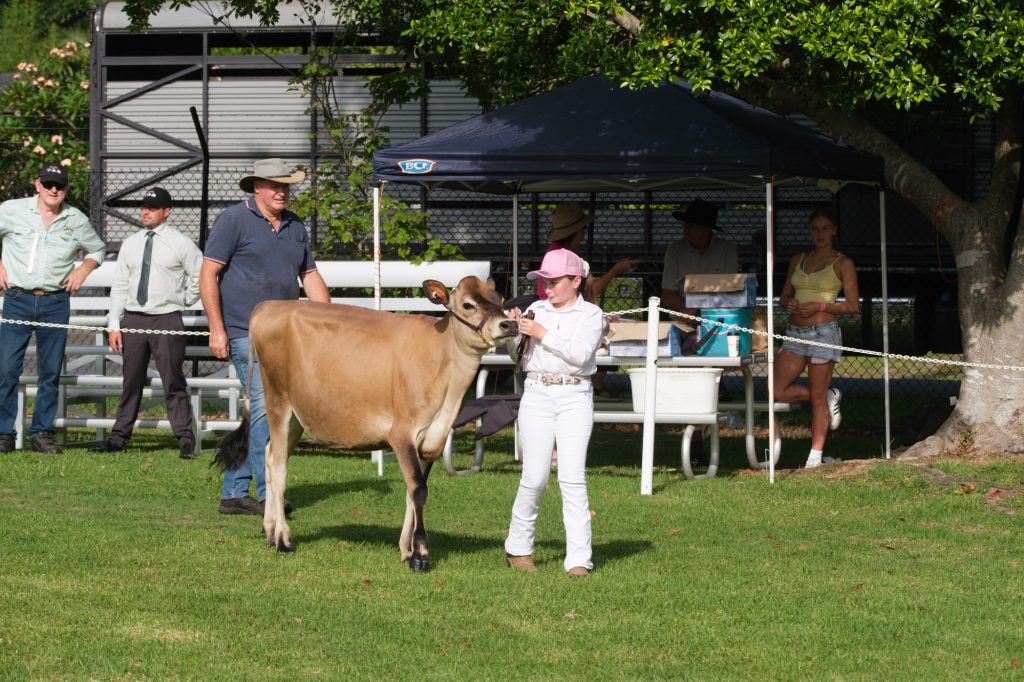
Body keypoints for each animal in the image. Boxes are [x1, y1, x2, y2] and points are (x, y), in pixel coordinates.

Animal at [213, 276, 517, 572]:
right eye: (468, 305)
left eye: (500, 299)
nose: (510, 324)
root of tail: (267, 306)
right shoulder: (402, 434)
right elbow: (419, 491)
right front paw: (420, 555)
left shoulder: (431, 439)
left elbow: (412, 492)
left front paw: (406, 550)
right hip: (277, 401)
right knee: (278, 468)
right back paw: (282, 539)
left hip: (297, 417)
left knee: (269, 455)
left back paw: (269, 530)